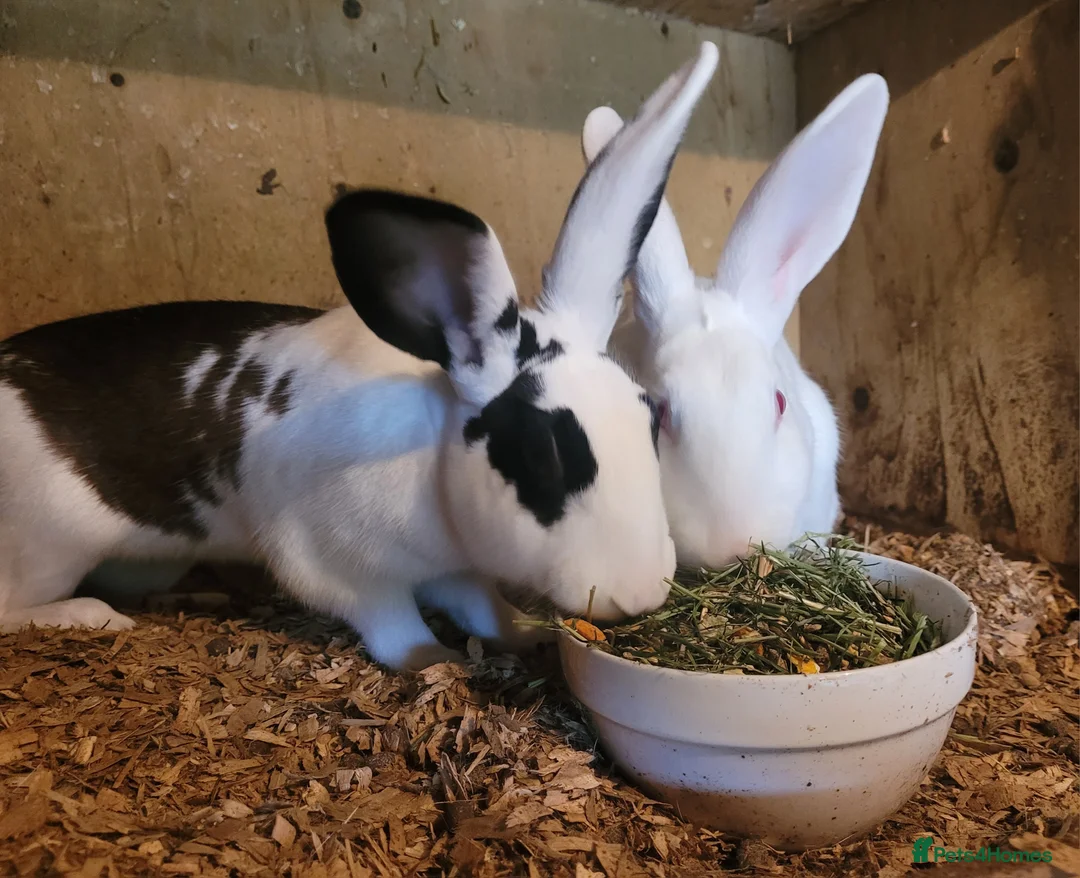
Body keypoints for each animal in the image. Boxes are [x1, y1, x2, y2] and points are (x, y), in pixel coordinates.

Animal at [0, 41, 721, 671]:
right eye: (544, 453)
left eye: (650, 419)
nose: (640, 593)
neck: (429, 463)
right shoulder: (335, 564)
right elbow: (390, 621)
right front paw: (433, 660)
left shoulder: (456, 568)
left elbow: (481, 605)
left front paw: (524, 635)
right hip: (48, 544)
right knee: (12, 608)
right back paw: (91, 616)